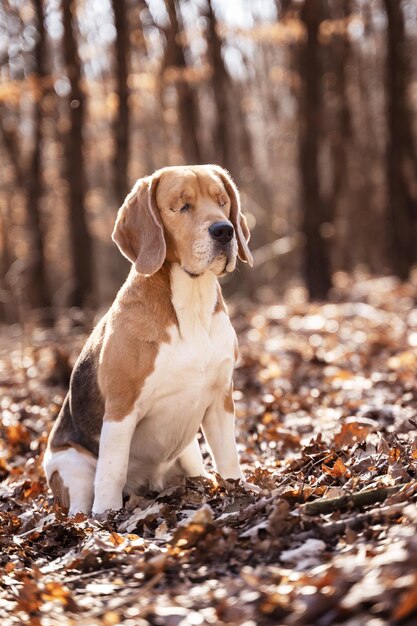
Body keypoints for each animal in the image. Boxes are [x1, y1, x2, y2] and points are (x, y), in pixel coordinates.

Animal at [44, 165, 252, 512]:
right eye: (181, 206)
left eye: (222, 202)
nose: (224, 231)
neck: (191, 303)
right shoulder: (121, 408)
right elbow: (112, 471)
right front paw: (107, 517)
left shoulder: (221, 397)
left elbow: (229, 456)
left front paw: (241, 490)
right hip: (72, 467)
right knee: (83, 499)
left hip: (189, 454)